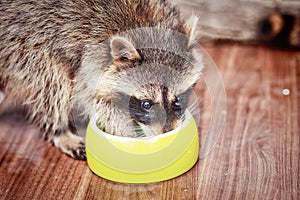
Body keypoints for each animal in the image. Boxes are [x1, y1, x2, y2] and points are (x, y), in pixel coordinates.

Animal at [0, 0, 203, 159]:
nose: (168, 134)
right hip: (23, 46)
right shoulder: (88, 58)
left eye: (178, 99)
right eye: (146, 104)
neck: (148, 25)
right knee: (54, 82)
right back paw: (59, 131)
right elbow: (97, 102)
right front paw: (127, 135)